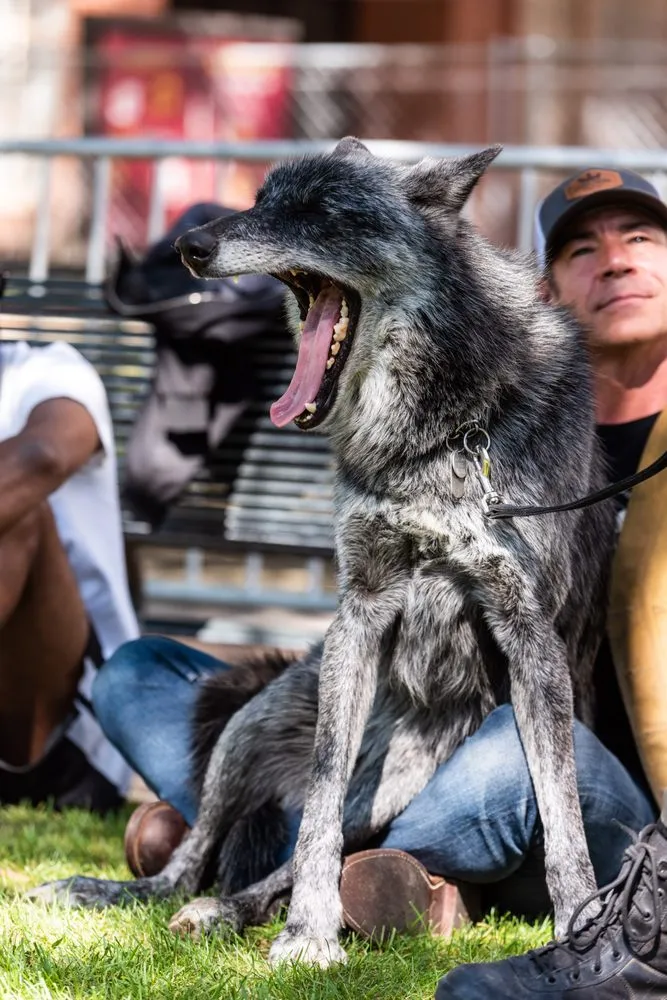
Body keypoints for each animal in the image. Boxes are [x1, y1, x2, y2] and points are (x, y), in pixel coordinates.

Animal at [32, 138, 615, 967]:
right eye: (261, 199)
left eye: (322, 211)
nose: (190, 246)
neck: (433, 435)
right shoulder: (360, 613)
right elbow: (318, 807)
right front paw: (308, 933)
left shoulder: (529, 636)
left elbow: (563, 816)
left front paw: (577, 929)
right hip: (254, 723)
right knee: (203, 855)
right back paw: (144, 896)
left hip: (407, 775)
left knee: (320, 845)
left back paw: (245, 907)